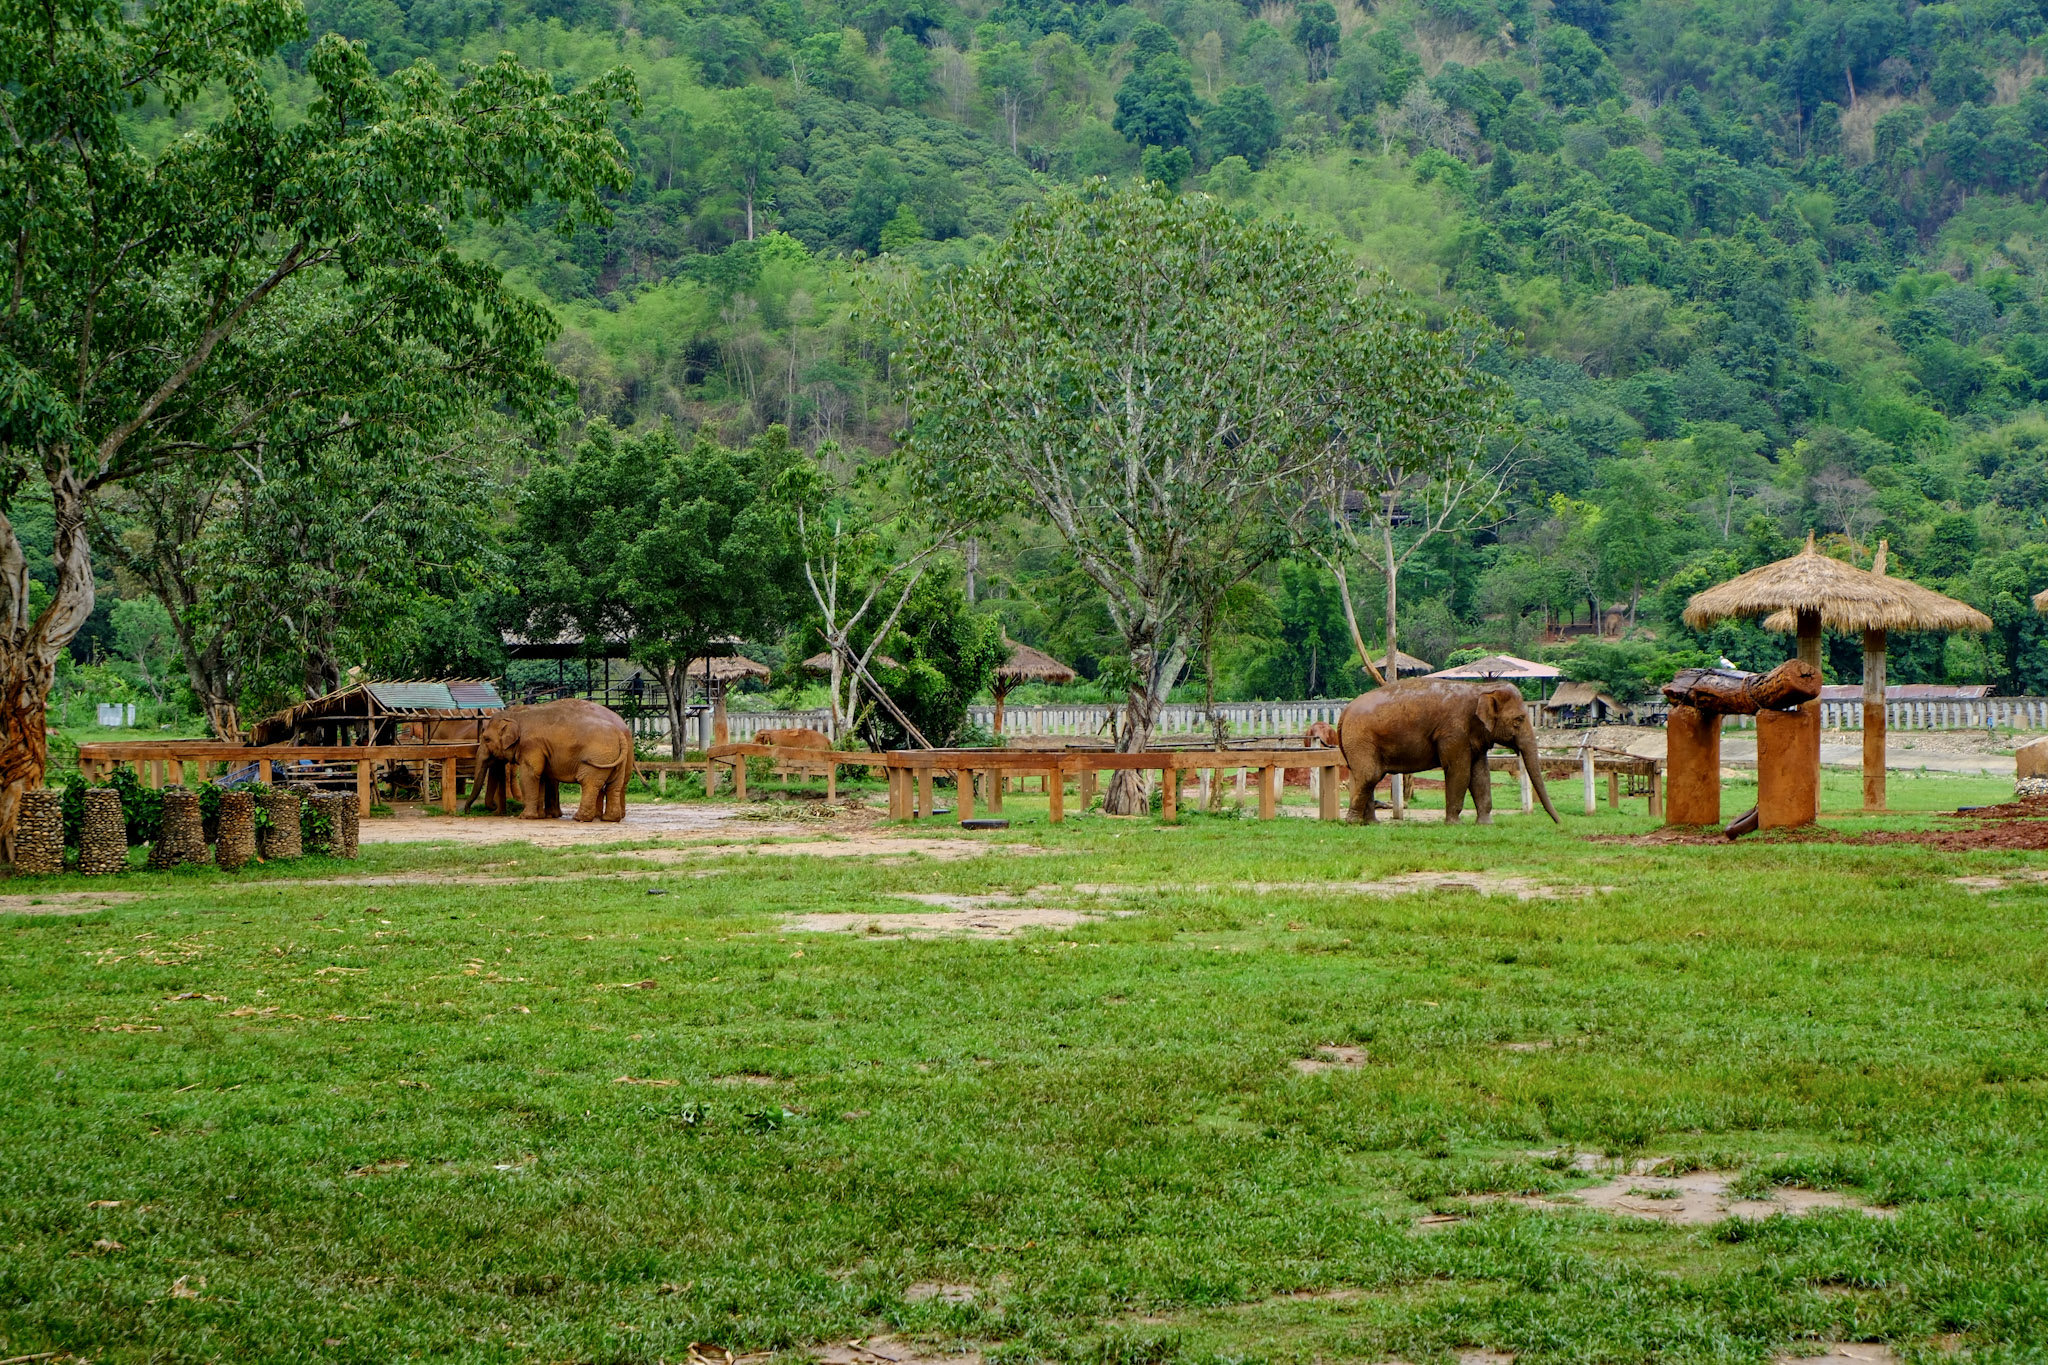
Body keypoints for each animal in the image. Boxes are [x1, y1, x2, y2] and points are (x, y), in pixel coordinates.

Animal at [469, 699, 632, 821]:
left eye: (486, 739)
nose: (467, 811)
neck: (518, 716)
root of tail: (619, 732)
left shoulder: (532, 746)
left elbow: (530, 775)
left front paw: (525, 817)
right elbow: (540, 776)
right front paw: (540, 816)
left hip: (599, 757)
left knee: (590, 783)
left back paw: (580, 818)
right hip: (615, 759)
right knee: (615, 785)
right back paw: (610, 819)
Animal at [1335, 680, 1560, 825]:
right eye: (1519, 719)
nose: (1559, 823)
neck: (1482, 688)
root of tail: (1344, 712)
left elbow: (1480, 775)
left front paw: (1486, 824)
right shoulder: (1454, 732)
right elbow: (1459, 771)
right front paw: (1455, 824)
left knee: (1366, 777)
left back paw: (1371, 824)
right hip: (1361, 739)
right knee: (1369, 776)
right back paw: (1353, 822)